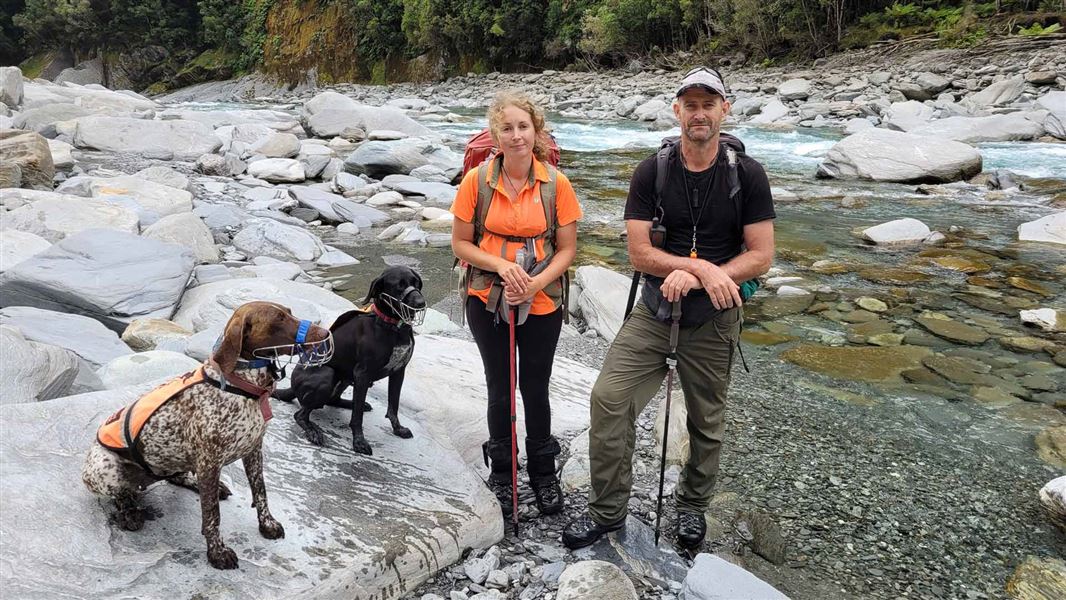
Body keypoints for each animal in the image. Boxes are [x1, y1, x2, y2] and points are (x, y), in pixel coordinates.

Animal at [81, 302, 330, 571]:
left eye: (289, 311)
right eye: (279, 319)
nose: (325, 333)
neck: (242, 386)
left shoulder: (253, 450)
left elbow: (260, 492)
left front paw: (267, 524)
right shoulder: (209, 461)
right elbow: (212, 514)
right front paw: (217, 552)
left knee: (176, 477)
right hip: (104, 467)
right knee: (122, 493)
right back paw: (129, 511)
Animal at [272, 266, 426, 456]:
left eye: (416, 283)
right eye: (399, 285)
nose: (421, 302)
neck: (392, 326)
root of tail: (292, 387)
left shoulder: (398, 372)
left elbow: (393, 406)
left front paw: (398, 429)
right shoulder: (362, 374)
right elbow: (357, 417)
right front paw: (359, 442)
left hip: (346, 378)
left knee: (332, 400)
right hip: (327, 375)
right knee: (301, 414)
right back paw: (313, 431)